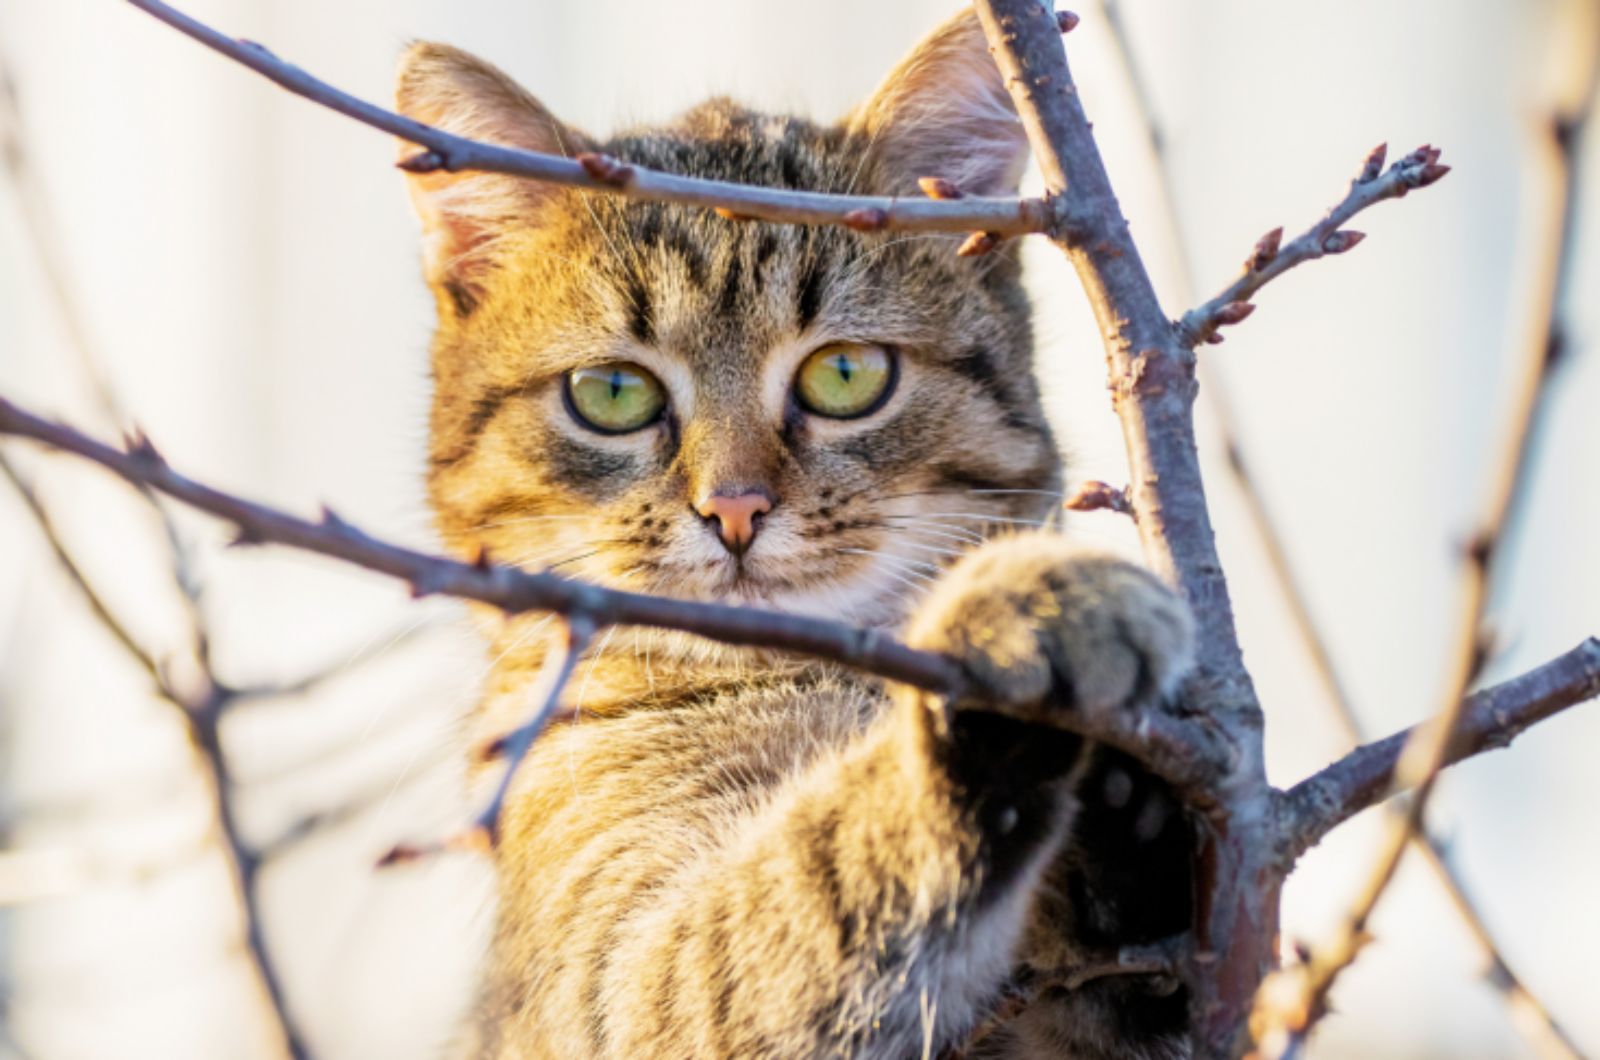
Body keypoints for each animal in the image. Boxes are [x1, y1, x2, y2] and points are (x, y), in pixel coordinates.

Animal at [396, 10, 1203, 1060]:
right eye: (611, 394)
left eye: (846, 375)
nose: (735, 508)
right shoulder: (617, 973)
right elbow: (810, 878)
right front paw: (1017, 618)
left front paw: (1129, 827)